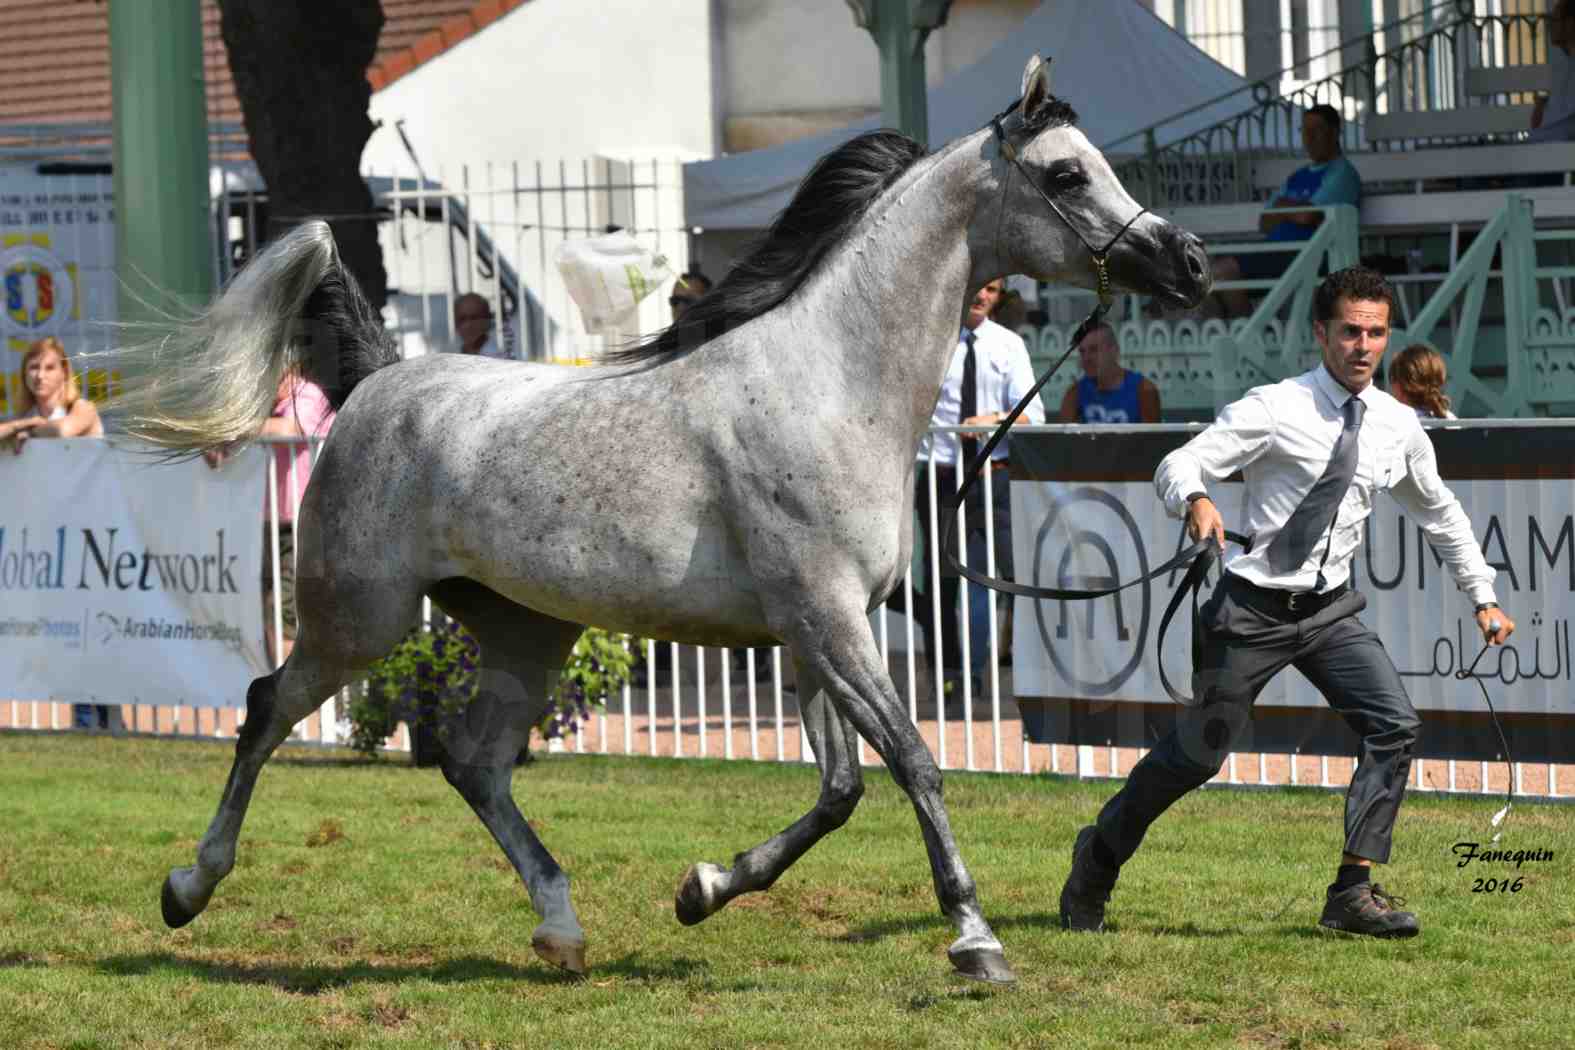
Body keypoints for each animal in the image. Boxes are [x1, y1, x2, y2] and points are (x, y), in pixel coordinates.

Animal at [119, 59, 1203, 988]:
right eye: (1066, 172)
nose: (1186, 260)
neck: (830, 384)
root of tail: (380, 378)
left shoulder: (814, 630)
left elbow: (839, 790)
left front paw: (703, 890)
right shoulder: (829, 621)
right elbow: (914, 763)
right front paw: (976, 942)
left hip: (526, 629)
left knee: (476, 764)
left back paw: (560, 929)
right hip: (361, 619)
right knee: (266, 707)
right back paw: (187, 888)